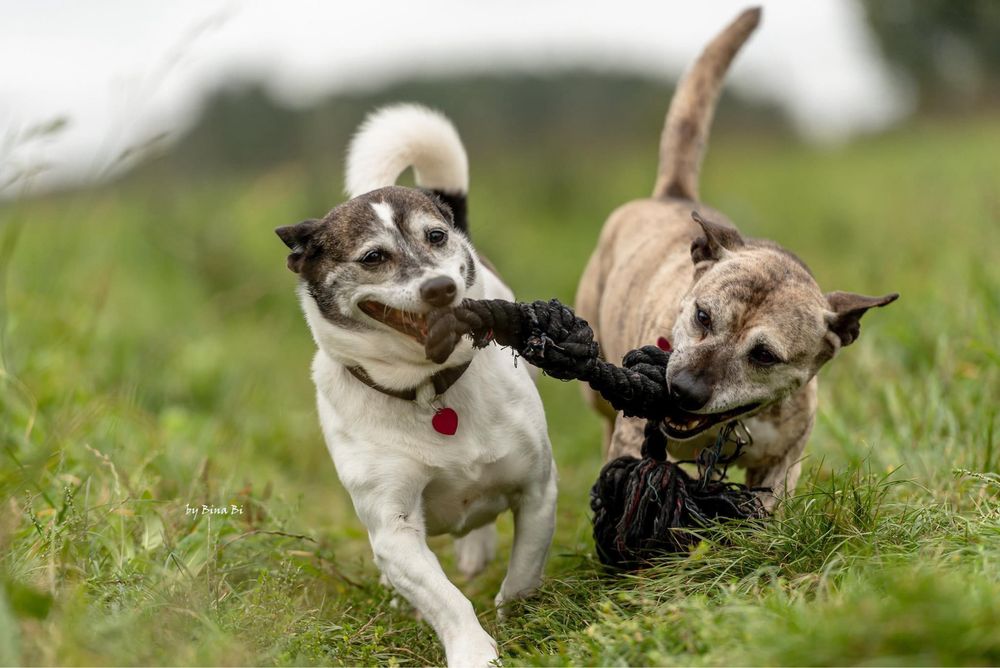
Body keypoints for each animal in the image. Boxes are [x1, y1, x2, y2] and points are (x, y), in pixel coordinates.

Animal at [276, 102, 556, 664]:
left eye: (436, 237)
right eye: (373, 257)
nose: (441, 287)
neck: (431, 390)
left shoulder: (539, 490)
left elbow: (524, 571)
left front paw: (518, 618)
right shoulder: (395, 531)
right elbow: (446, 599)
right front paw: (474, 651)